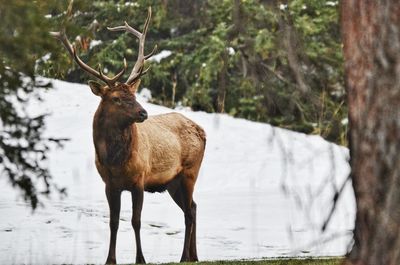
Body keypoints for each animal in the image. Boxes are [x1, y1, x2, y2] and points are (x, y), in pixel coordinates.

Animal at [50, 7, 206, 262]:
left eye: (133, 94)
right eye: (116, 98)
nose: (143, 112)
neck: (115, 161)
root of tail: (202, 131)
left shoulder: (139, 180)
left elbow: (136, 221)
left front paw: (140, 259)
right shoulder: (109, 184)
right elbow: (113, 222)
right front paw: (109, 260)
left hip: (189, 171)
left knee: (189, 213)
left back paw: (184, 257)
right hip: (172, 182)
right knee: (192, 206)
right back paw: (194, 256)